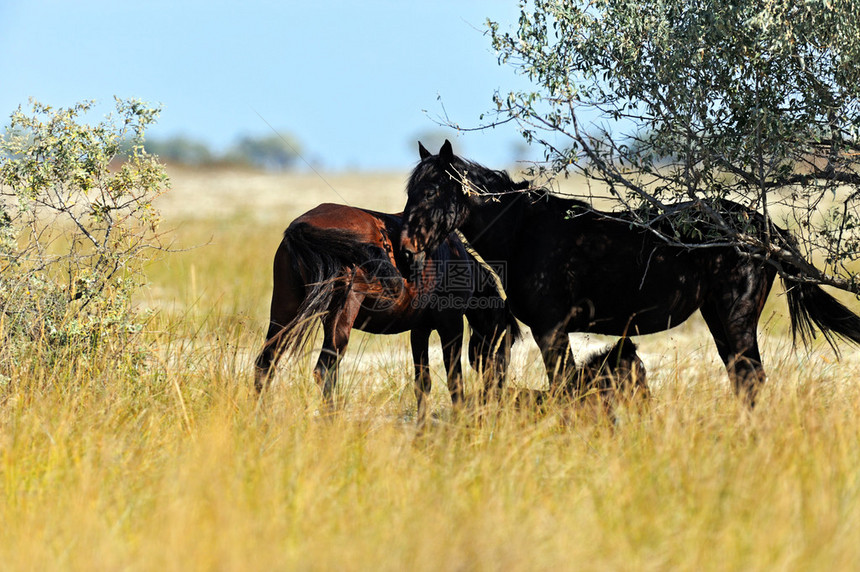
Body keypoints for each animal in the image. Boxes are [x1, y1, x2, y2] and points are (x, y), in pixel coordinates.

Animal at [252, 203, 520, 422]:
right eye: (507, 343)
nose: (498, 391)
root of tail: (302, 225)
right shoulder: (451, 327)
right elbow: (454, 380)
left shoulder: (420, 330)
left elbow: (423, 382)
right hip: (340, 316)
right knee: (324, 372)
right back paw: (331, 422)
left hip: (284, 311)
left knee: (265, 365)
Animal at [400, 140, 860, 404]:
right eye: (410, 190)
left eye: (434, 189)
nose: (404, 248)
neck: (523, 232)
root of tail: (761, 228)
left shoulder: (551, 329)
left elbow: (566, 389)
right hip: (717, 317)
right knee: (742, 379)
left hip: (737, 316)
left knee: (751, 380)